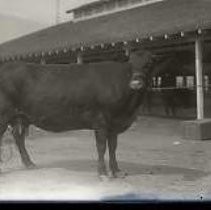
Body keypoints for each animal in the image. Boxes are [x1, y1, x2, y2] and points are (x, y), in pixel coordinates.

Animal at [0, 50, 153, 179]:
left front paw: (117, 171)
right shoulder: (101, 121)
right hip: (4, 115)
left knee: (18, 137)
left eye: (149, 63)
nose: (135, 82)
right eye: (130, 64)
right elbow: (101, 147)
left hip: (20, 117)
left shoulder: (114, 124)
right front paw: (103, 173)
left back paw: (29, 163)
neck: (128, 110)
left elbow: (113, 147)